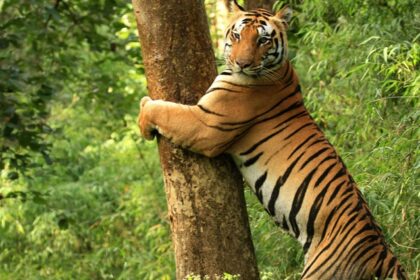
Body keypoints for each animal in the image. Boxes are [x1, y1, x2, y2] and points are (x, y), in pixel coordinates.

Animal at [138, 2, 406, 280]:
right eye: (237, 36)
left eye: (263, 40)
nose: (242, 64)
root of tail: (381, 251)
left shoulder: (206, 124)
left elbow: (165, 111)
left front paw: (144, 114)